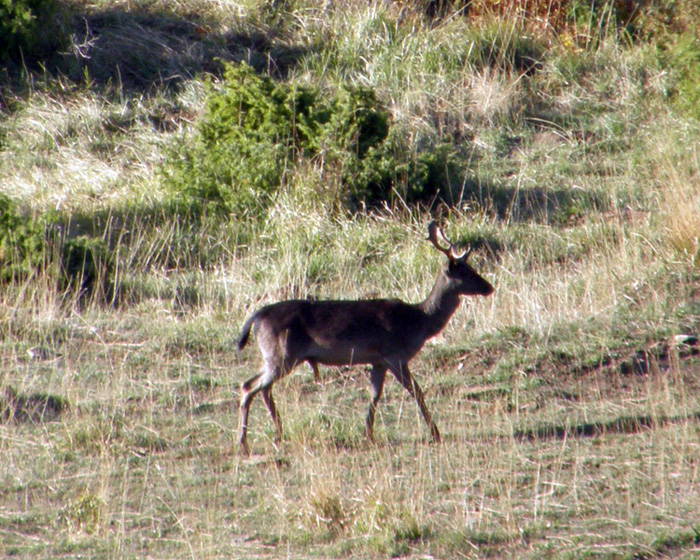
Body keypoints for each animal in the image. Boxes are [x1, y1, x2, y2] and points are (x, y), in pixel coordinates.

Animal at [235, 219, 492, 456]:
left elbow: (374, 395)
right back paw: (244, 443)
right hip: (283, 355)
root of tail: (255, 318)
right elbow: (416, 391)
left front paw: (368, 433)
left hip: (274, 356)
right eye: (466, 272)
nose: (489, 287)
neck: (418, 322)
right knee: (250, 387)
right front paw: (435, 433)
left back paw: (276, 434)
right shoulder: (395, 356)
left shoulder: (378, 361)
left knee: (257, 386)